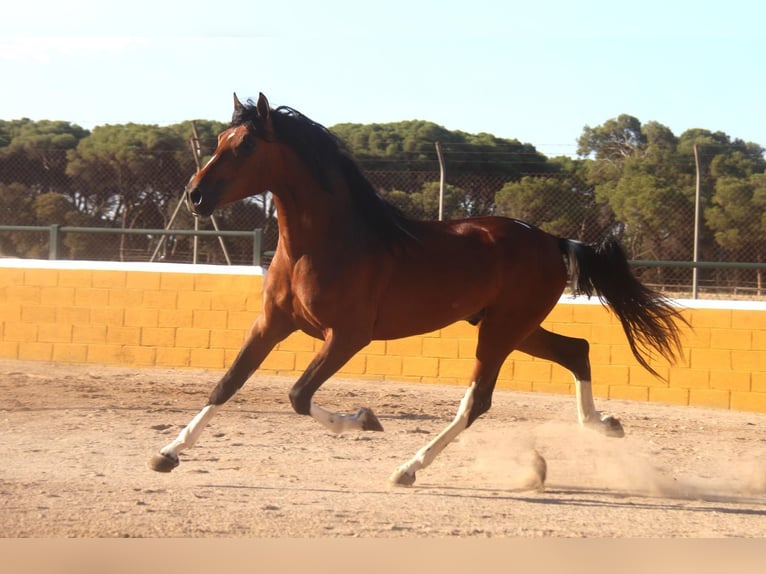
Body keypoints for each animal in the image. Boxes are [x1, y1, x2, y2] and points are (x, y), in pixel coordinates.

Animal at [147, 92, 688, 488]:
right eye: (219, 138)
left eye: (246, 147)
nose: (195, 196)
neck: (323, 244)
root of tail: (555, 241)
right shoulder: (273, 324)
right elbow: (228, 383)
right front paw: (167, 454)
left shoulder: (347, 336)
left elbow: (299, 395)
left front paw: (365, 419)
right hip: (514, 327)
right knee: (577, 349)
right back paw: (603, 425)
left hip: (501, 331)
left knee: (478, 401)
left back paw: (409, 467)